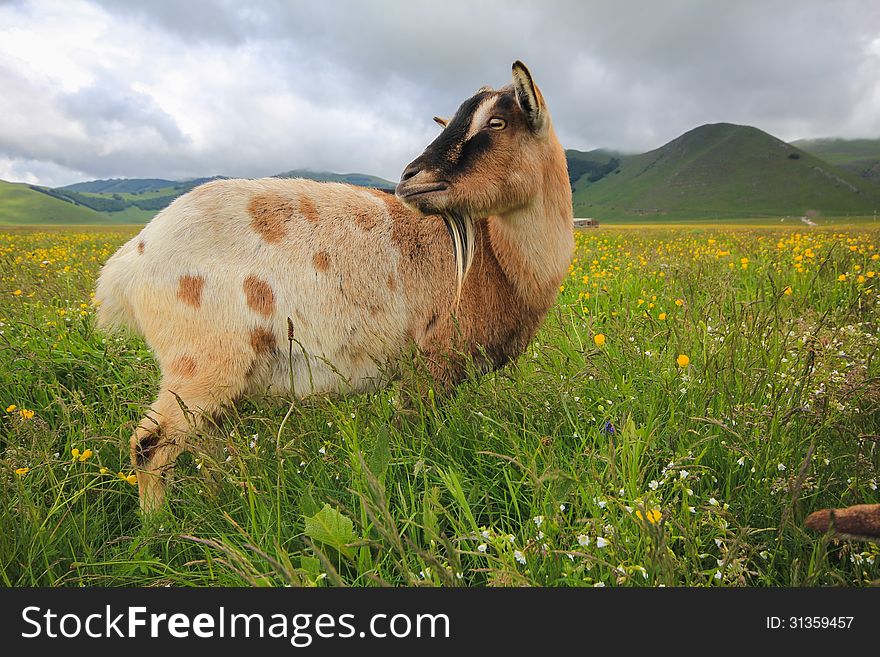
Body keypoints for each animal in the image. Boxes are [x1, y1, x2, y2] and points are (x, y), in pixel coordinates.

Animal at [96, 61, 576, 510]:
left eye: (497, 122)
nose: (411, 178)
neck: (495, 260)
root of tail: (133, 259)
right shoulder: (431, 365)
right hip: (201, 366)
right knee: (150, 445)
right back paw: (158, 527)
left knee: (204, 444)